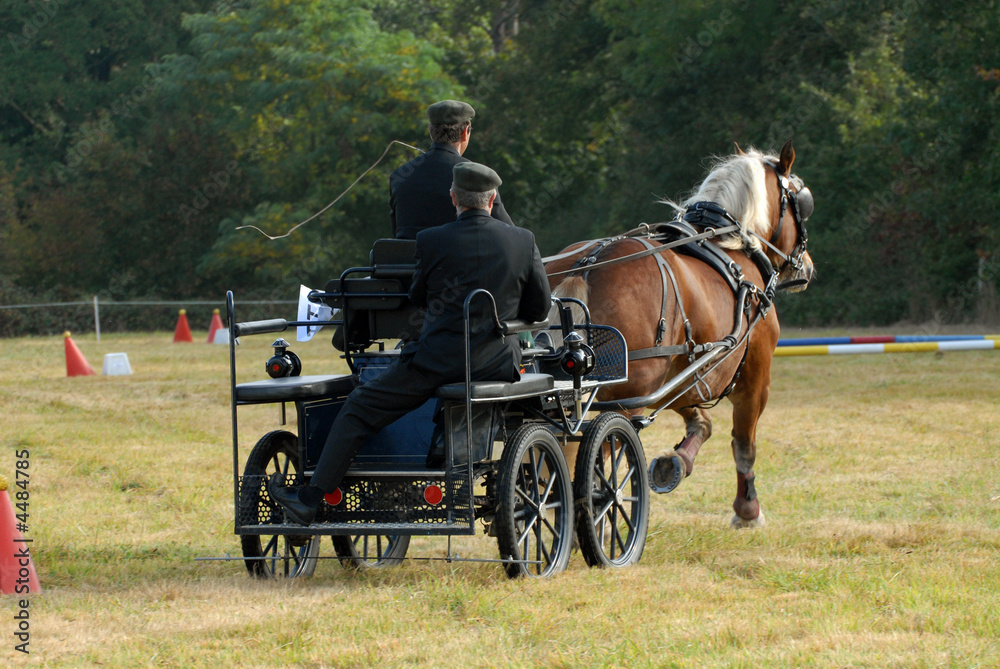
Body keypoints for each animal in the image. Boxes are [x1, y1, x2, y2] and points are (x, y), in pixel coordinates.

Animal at [545, 140, 814, 528]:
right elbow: (744, 444)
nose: (806, 266)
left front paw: (675, 463)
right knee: (597, 459)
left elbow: (702, 422)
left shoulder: (684, 377)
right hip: (625, 398)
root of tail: (586, 265)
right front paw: (747, 512)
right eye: (801, 201)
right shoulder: (754, 378)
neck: (732, 246)